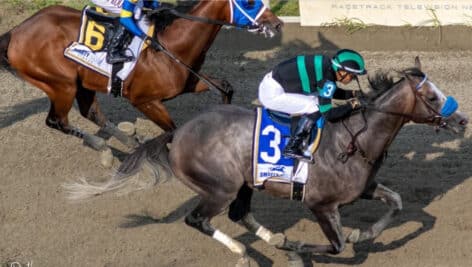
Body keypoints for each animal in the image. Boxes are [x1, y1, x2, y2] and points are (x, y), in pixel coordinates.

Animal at [0, 0, 280, 151]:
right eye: (249, 3)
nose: (277, 24)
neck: (174, 43)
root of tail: (15, 31)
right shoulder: (144, 101)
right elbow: (173, 132)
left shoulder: (189, 80)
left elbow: (226, 87)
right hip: (61, 83)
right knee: (57, 121)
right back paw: (101, 145)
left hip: (81, 82)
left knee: (91, 113)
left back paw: (128, 142)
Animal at [64, 56, 466, 266]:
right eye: (431, 96)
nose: (462, 121)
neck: (353, 138)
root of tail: (178, 133)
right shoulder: (320, 204)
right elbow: (337, 245)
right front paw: (299, 251)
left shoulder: (364, 189)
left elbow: (396, 204)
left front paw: (361, 233)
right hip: (219, 187)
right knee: (198, 219)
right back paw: (244, 251)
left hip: (244, 181)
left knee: (239, 213)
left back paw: (273, 237)